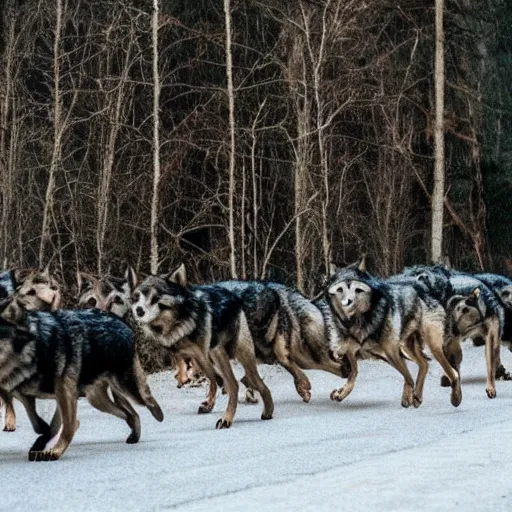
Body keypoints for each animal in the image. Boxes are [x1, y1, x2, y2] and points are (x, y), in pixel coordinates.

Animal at [0, 310, 163, 462]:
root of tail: (120, 320)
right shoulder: (26, 392)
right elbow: (42, 422)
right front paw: (42, 442)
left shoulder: (64, 392)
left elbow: (67, 426)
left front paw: (55, 451)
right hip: (97, 400)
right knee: (130, 413)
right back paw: (134, 432)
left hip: (129, 389)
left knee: (148, 400)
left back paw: (157, 416)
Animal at [133, 266, 276, 430]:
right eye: (136, 297)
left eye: (155, 297)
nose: (138, 310)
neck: (180, 322)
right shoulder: (195, 356)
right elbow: (212, 378)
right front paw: (209, 402)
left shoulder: (205, 353)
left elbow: (218, 379)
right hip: (217, 354)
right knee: (245, 381)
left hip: (231, 352)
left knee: (240, 382)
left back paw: (231, 417)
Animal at [324, 260, 460, 408]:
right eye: (340, 289)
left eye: (357, 290)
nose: (348, 302)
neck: (360, 321)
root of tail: (422, 284)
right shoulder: (353, 352)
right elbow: (353, 374)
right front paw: (341, 393)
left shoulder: (391, 352)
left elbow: (408, 377)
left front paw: (407, 396)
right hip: (406, 348)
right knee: (424, 364)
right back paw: (418, 396)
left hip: (431, 347)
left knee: (452, 372)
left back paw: (455, 397)